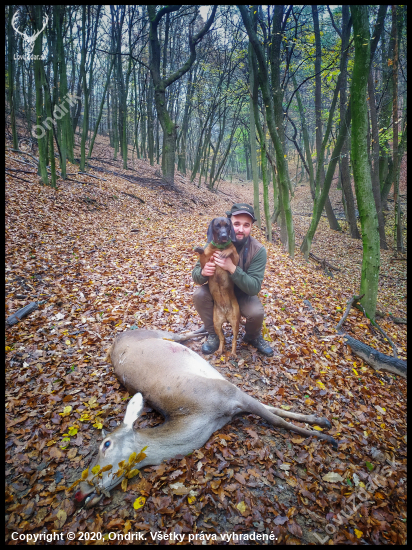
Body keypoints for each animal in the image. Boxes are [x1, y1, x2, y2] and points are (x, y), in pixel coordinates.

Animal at [74, 330, 338, 512]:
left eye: (106, 444)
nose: (79, 493)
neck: (201, 417)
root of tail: (116, 339)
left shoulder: (231, 392)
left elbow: (276, 418)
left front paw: (325, 433)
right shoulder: (233, 401)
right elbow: (273, 412)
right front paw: (322, 422)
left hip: (152, 332)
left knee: (178, 333)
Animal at [195, 218, 240, 356]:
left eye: (228, 226)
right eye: (217, 226)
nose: (225, 236)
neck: (219, 247)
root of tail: (225, 314)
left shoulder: (236, 260)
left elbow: (232, 250)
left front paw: (226, 252)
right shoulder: (206, 262)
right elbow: (203, 254)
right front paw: (199, 248)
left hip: (235, 322)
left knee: (234, 339)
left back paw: (233, 353)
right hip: (216, 324)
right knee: (222, 338)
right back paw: (220, 350)